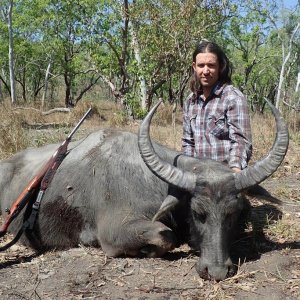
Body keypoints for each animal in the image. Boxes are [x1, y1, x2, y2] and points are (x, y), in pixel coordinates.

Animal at [0, 101, 290, 282]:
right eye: (198, 214)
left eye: (234, 214)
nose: (217, 271)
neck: (152, 180)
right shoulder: (115, 232)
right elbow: (166, 237)